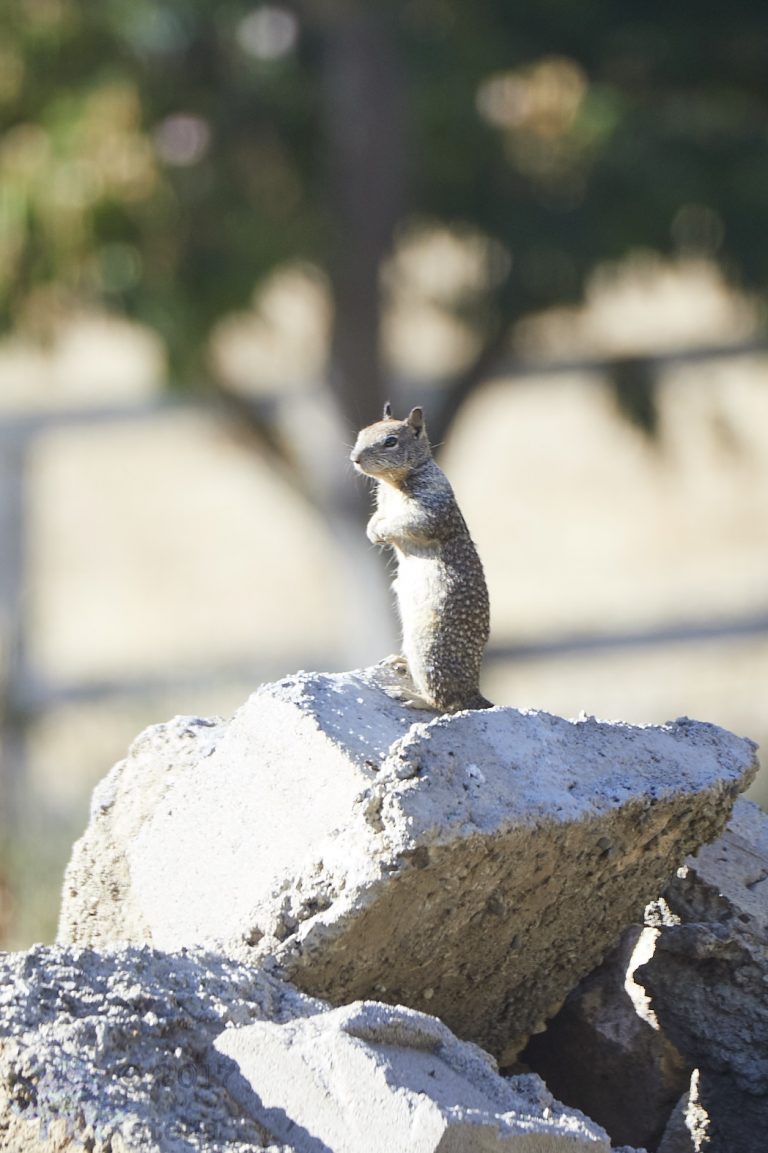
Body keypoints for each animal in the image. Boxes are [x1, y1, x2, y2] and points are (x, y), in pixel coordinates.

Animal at [350, 403, 492, 713]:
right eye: (361, 433)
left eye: (390, 441)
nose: (355, 458)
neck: (392, 484)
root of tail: (473, 691)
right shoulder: (383, 504)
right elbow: (378, 517)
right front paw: (372, 531)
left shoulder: (429, 506)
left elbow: (410, 523)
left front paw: (382, 533)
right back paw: (398, 662)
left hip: (428, 649)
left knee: (444, 702)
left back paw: (410, 695)